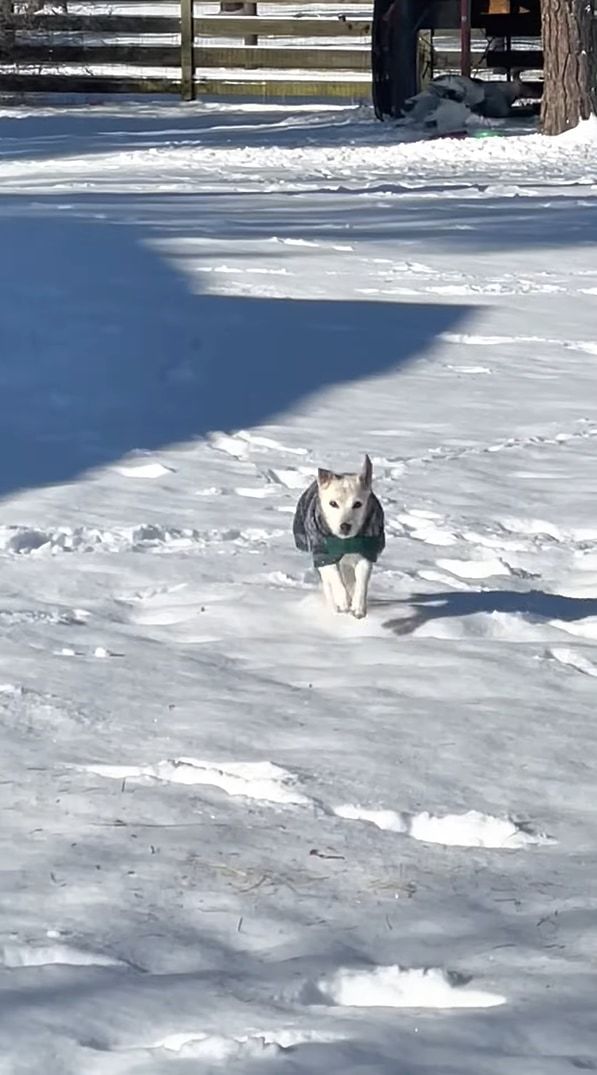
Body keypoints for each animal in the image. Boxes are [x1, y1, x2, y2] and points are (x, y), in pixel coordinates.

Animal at [292, 455, 385, 623]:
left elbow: (361, 580)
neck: (345, 542)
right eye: (333, 503)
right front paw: (343, 600)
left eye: (357, 504)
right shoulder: (323, 552)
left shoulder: (367, 550)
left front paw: (358, 606)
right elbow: (335, 576)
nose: (345, 526)